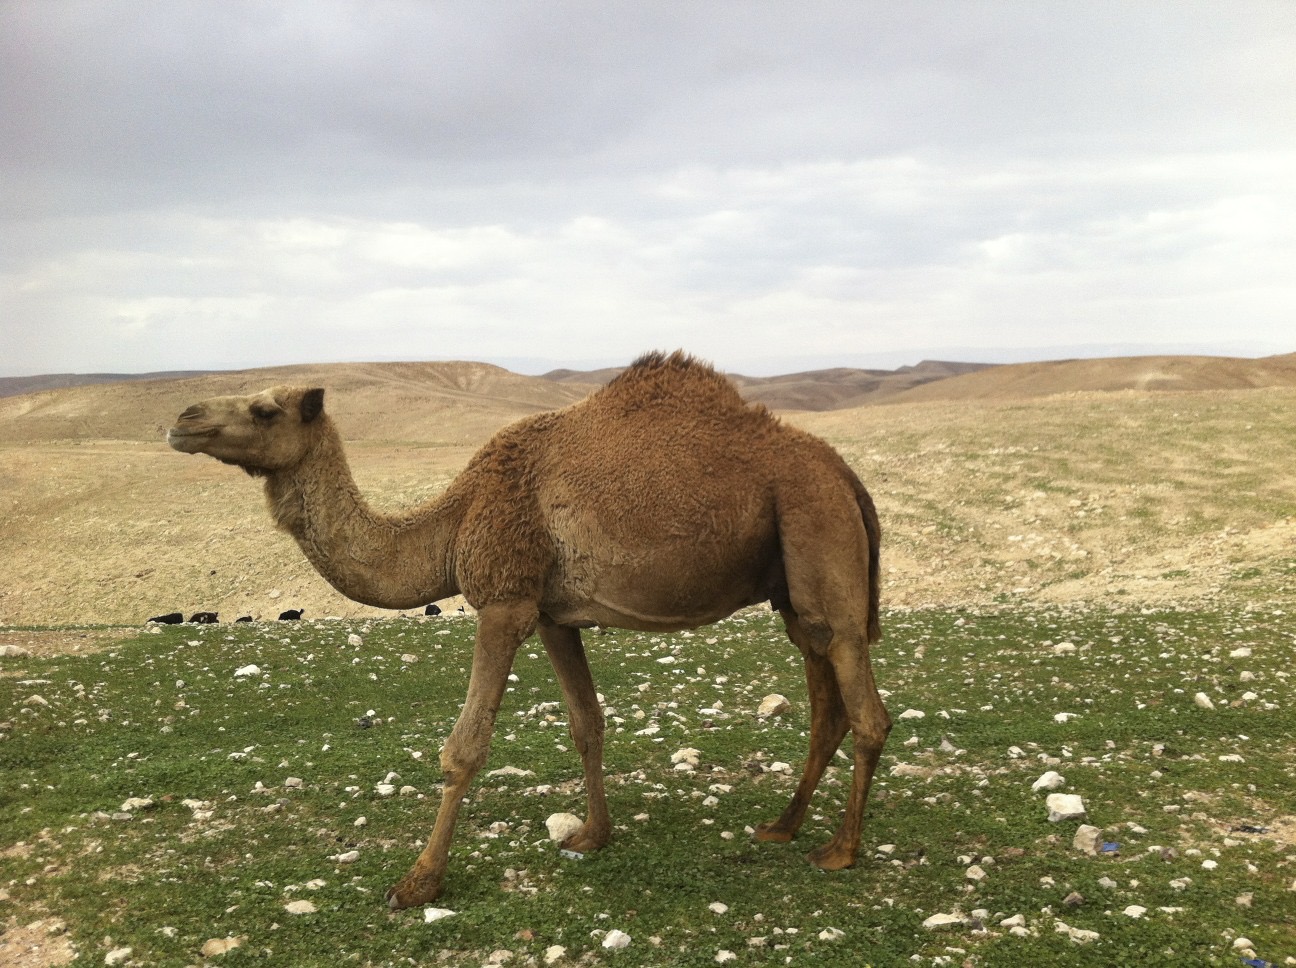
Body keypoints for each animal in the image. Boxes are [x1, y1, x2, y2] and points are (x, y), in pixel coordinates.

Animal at [167, 350, 889, 909]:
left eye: (265, 409)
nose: (182, 419)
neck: (455, 520)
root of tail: (846, 475)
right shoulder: (550, 615)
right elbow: (587, 722)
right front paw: (591, 836)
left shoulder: (504, 601)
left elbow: (464, 749)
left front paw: (418, 882)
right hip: (791, 586)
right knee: (825, 700)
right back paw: (782, 826)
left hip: (817, 528)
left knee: (866, 708)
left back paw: (840, 849)